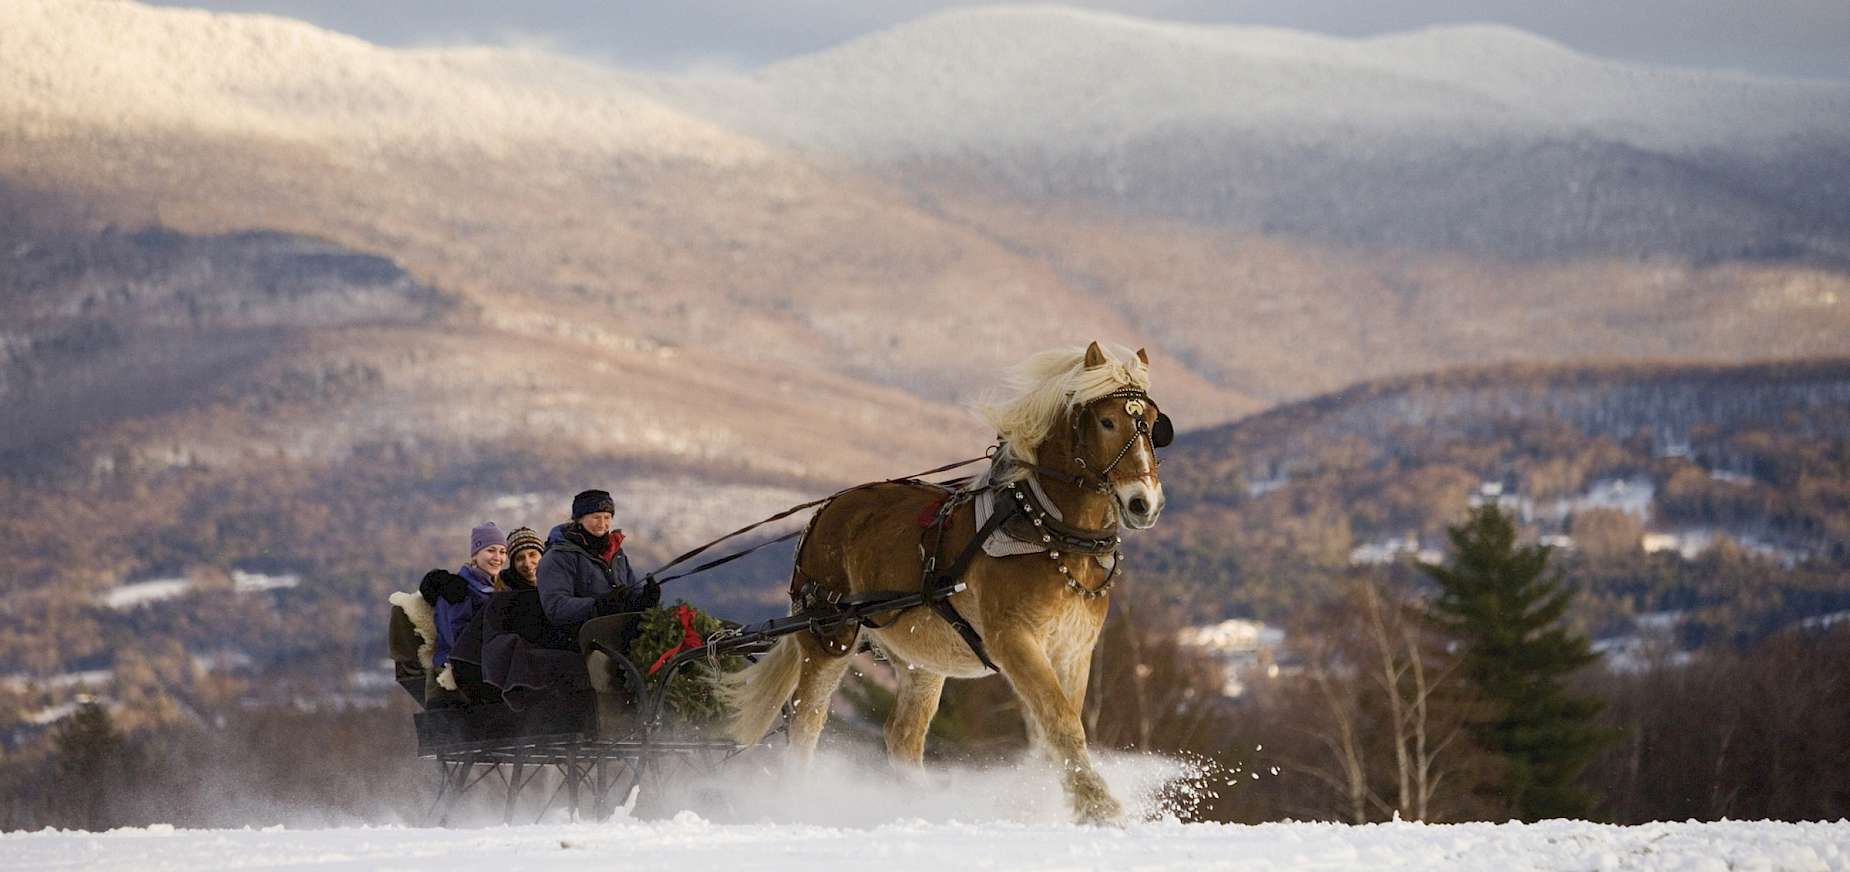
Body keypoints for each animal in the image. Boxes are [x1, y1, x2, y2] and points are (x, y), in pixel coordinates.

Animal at [717, 340, 1169, 825]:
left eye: (1153, 424)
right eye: (1107, 421)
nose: (1144, 503)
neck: (1048, 532)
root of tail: (824, 513)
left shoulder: (1073, 650)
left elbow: (1050, 730)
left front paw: (1038, 803)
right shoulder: (1015, 640)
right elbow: (1062, 723)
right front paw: (1098, 807)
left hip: (921, 660)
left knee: (902, 737)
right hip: (830, 636)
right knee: (807, 722)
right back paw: (799, 801)